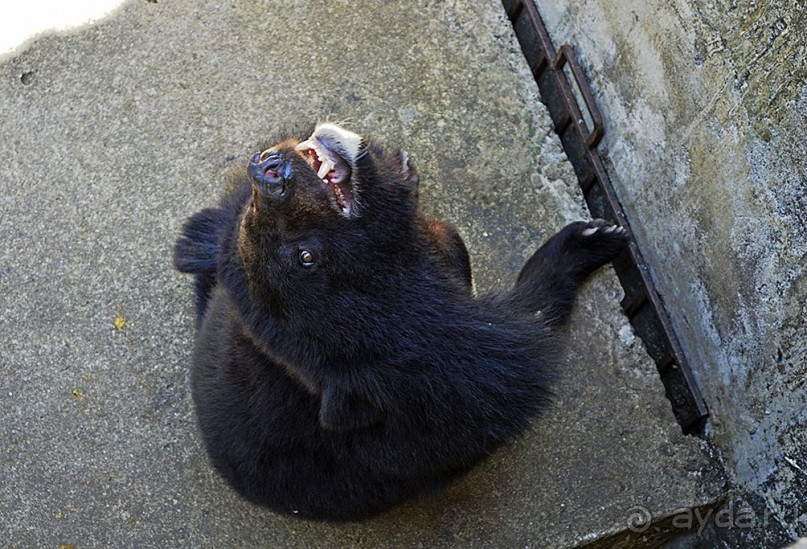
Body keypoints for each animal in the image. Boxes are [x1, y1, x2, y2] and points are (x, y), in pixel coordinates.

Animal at [175, 123, 632, 520]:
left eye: (252, 216)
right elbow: (528, 324)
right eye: (307, 256)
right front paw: (589, 241)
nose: (268, 170)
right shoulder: (463, 369)